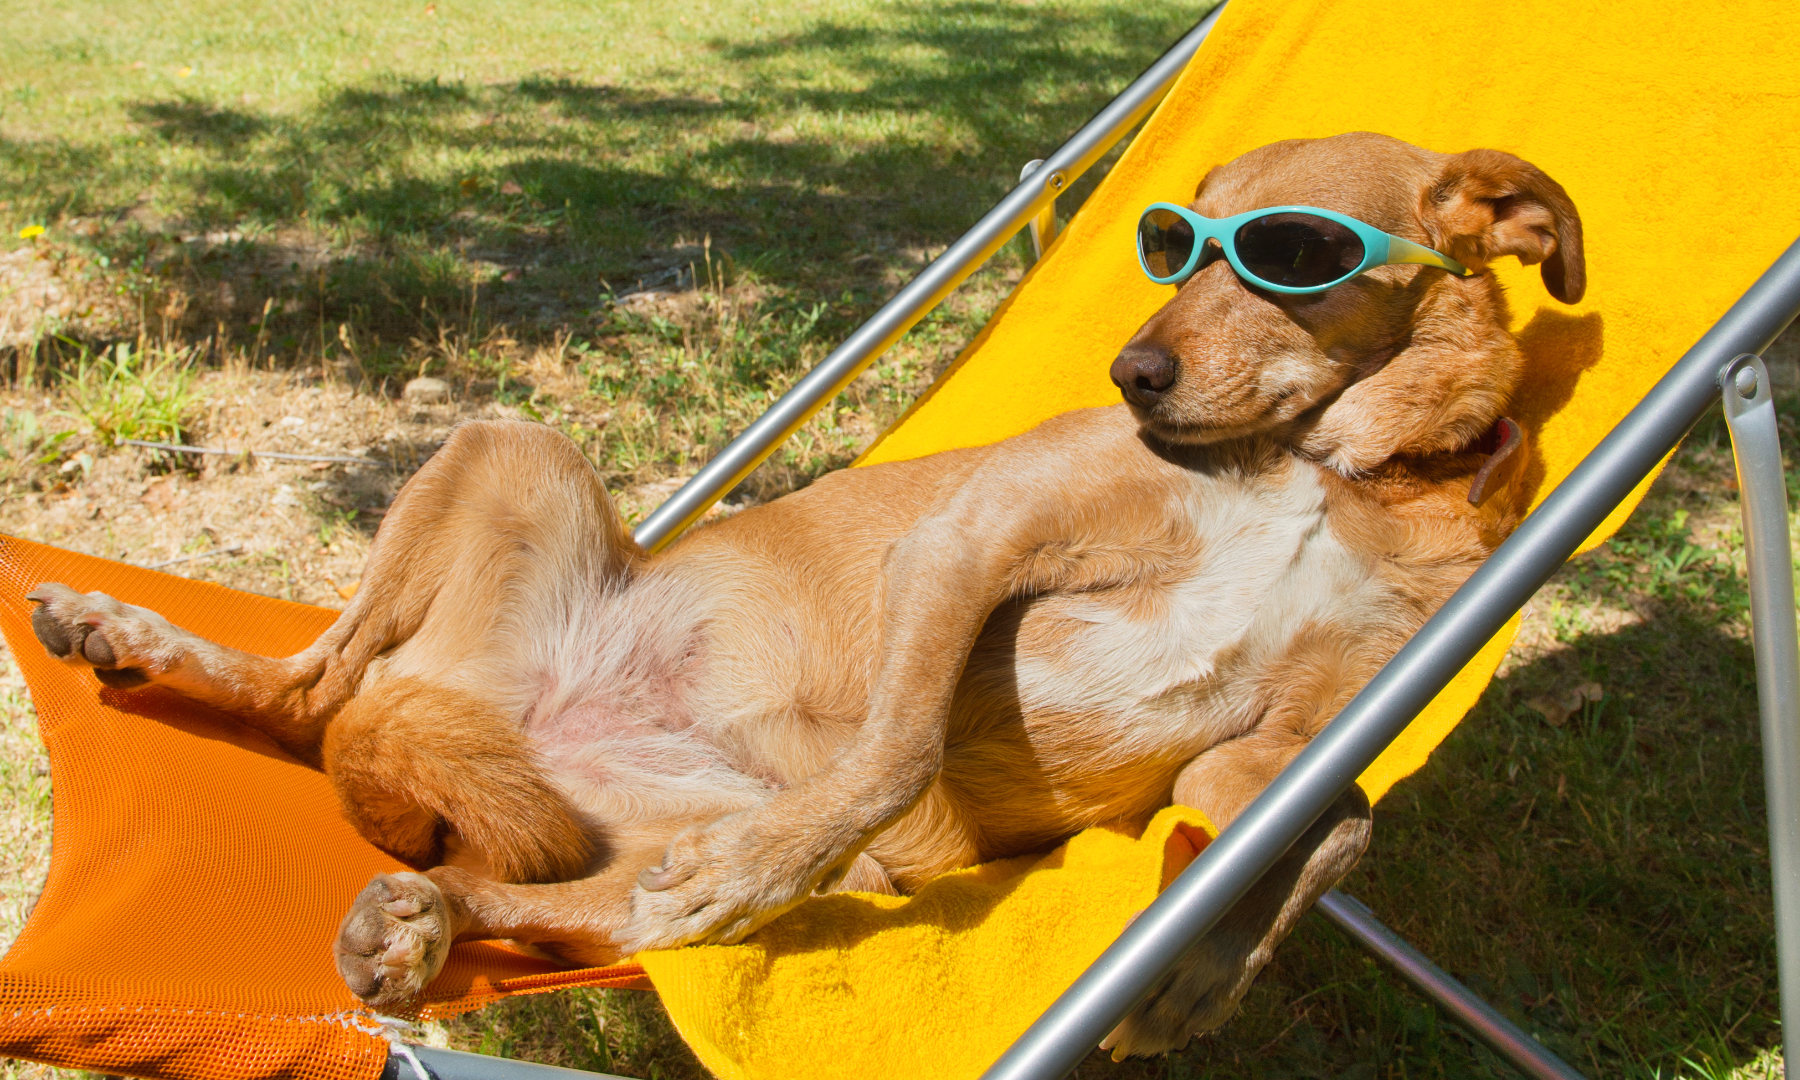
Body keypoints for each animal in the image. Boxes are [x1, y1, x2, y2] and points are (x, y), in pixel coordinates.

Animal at [24, 133, 1576, 1051]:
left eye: (1295, 254)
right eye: (1173, 244)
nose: (1133, 374)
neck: (1333, 469)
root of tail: (501, 726)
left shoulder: (1285, 746)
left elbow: (1338, 828)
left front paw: (1199, 973)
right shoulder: (965, 546)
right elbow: (893, 753)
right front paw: (770, 858)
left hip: (641, 866)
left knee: (511, 889)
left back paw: (417, 921)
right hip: (508, 450)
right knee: (305, 693)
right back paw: (124, 629)